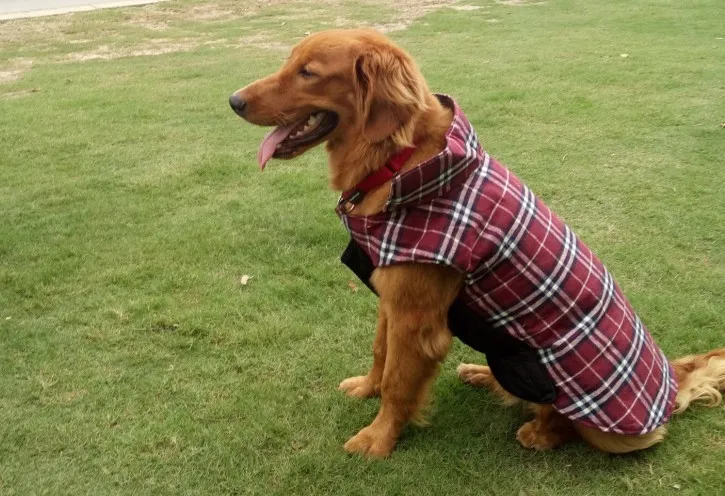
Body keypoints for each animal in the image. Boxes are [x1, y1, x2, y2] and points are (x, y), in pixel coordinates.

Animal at [230, 30, 724, 458]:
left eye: (308, 72)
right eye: (289, 62)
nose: (233, 101)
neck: (399, 162)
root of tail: (670, 383)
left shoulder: (416, 315)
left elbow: (398, 382)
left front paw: (378, 438)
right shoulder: (391, 291)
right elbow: (380, 353)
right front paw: (367, 389)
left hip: (544, 376)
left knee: (560, 423)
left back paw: (536, 431)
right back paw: (479, 375)